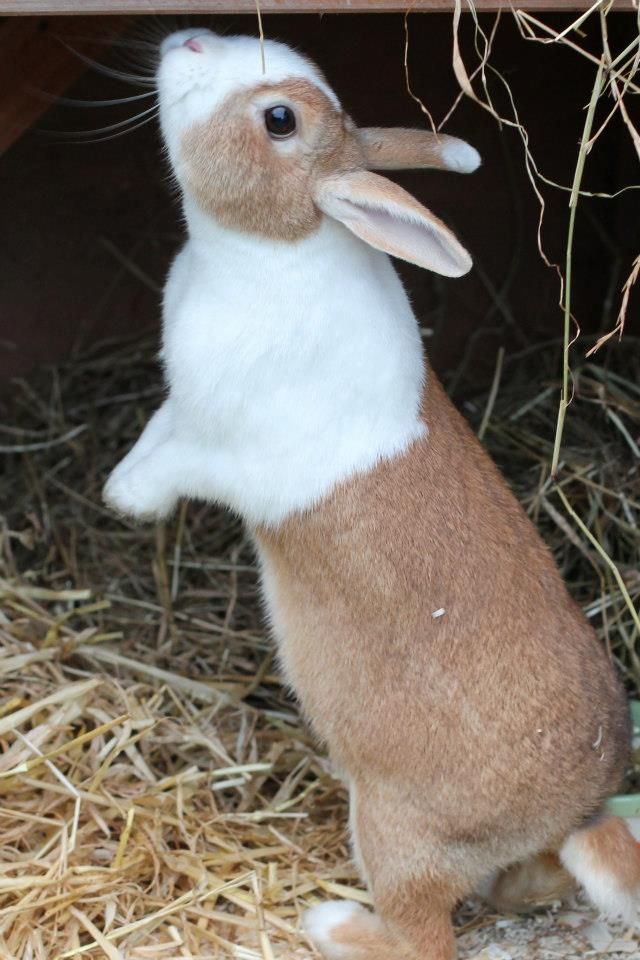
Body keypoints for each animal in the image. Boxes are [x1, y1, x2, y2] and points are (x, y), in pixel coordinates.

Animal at [103, 28, 640, 960]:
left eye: (279, 120)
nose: (187, 40)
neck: (274, 248)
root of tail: (574, 810)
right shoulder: (181, 413)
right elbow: (154, 437)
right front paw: (118, 486)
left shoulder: (221, 449)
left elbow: (175, 467)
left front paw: (125, 502)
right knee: (535, 877)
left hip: (394, 832)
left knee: (424, 935)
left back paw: (333, 923)